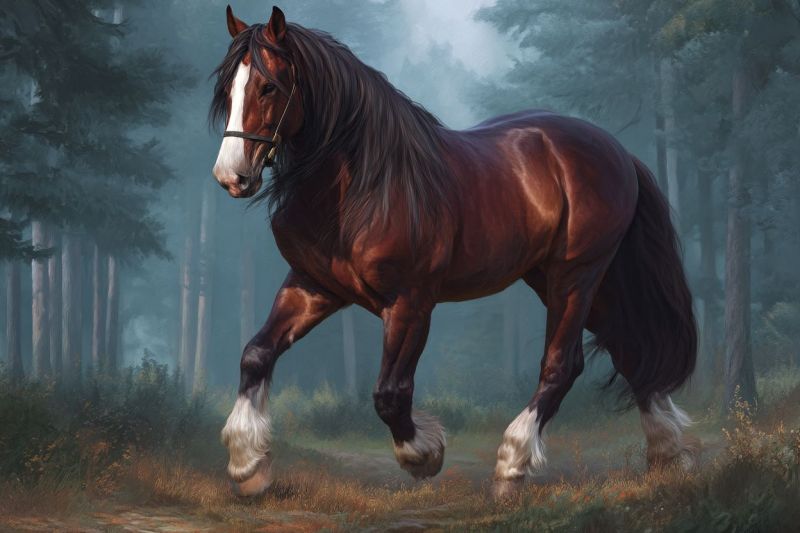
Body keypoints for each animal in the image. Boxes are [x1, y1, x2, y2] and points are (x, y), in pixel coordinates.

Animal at [210, 5, 698, 497]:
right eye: (228, 88)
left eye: (269, 86)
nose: (231, 176)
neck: (364, 188)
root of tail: (617, 151)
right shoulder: (314, 286)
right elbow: (256, 354)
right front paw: (248, 465)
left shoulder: (410, 304)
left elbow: (390, 393)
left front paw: (424, 453)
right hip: (563, 279)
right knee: (628, 348)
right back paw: (669, 453)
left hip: (576, 275)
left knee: (562, 365)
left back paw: (512, 465)